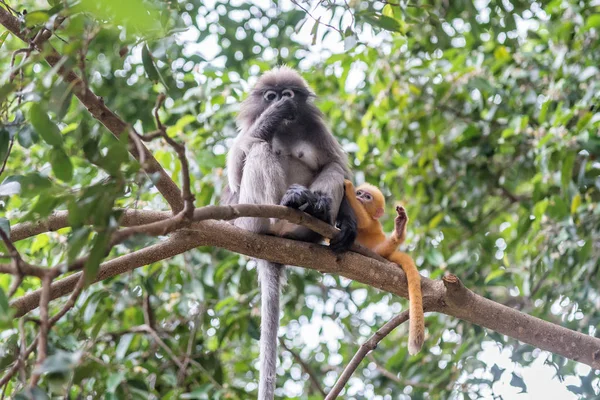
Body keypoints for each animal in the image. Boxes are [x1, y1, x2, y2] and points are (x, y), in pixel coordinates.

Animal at [224, 67, 356, 398]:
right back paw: (282, 206)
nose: (279, 101)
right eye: (271, 96)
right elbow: (235, 168)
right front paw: (272, 116)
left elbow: (337, 166)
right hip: (249, 218)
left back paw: (314, 208)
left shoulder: (318, 131)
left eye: (288, 93)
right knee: (258, 148)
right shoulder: (246, 136)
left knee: (333, 170)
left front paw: (348, 224)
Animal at [344, 180, 424, 354]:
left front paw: (347, 186)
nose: (359, 197)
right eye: (360, 193)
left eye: (367, 197)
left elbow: (363, 221)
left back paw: (399, 232)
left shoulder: (371, 223)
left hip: (378, 250)